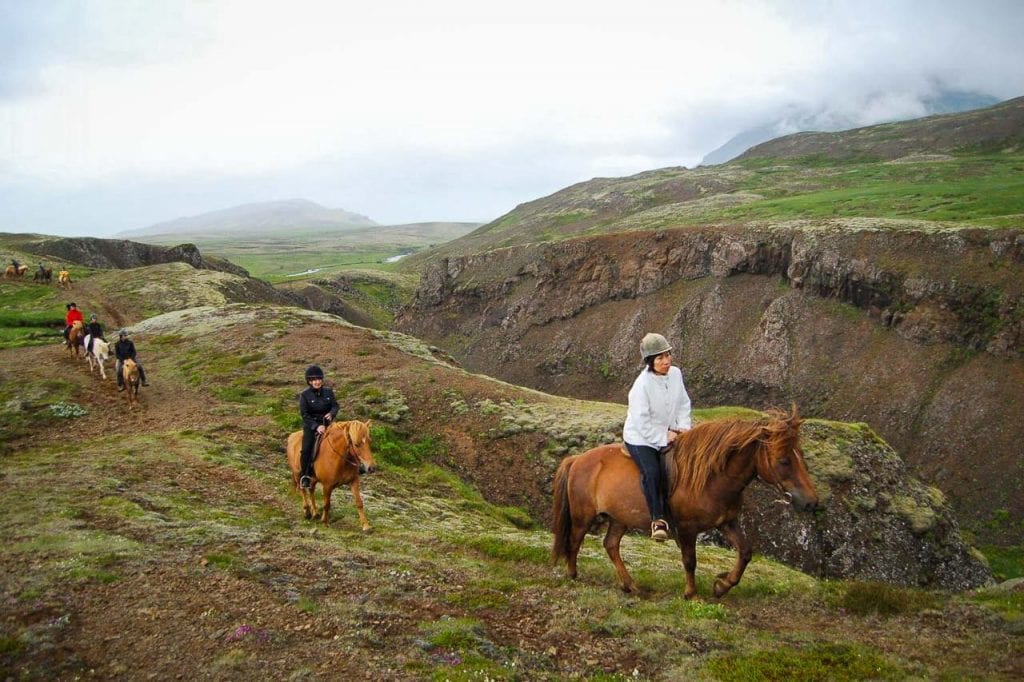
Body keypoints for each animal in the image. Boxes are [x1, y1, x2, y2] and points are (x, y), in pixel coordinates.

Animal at [552, 405, 815, 598]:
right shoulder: (687, 529)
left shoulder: (726, 522)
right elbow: (690, 560)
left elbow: (745, 552)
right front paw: (691, 594)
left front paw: (722, 586)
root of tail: (577, 459)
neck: (711, 478)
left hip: (619, 518)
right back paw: (572, 574)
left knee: (611, 545)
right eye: (783, 461)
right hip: (583, 516)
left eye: (801, 456)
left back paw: (630, 585)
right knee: (575, 540)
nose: (811, 502)